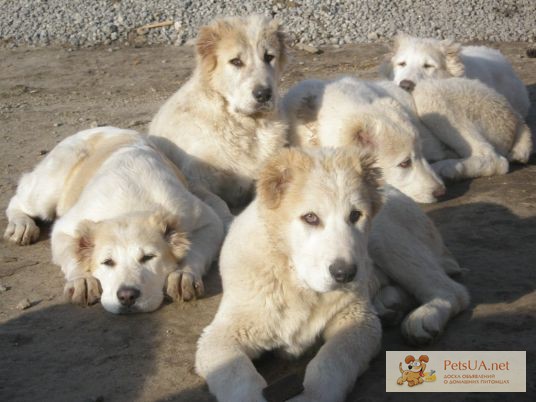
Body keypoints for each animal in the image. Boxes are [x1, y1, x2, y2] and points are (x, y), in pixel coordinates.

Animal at [3, 127, 224, 312]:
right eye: (107, 262)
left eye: (148, 257)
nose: (127, 296)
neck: (130, 207)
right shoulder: (64, 228)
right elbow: (73, 254)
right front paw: (82, 279)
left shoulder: (206, 219)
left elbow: (196, 250)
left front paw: (183, 274)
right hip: (48, 189)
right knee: (19, 196)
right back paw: (21, 225)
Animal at [150, 14, 288, 210]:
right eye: (236, 61)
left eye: (269, 57)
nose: (264, 94)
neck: (246, 126)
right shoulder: (195, 179)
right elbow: (219, 203)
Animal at [197, 148, 468, 402]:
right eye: (310, 217)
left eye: (355, 215)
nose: (345, 274)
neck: (298, 282)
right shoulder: (220, 336)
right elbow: (237, 375)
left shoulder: (356, 321)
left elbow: (331, 361)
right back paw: (389, 304)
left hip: (384, 238)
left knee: (453, 291)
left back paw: (424, 317)